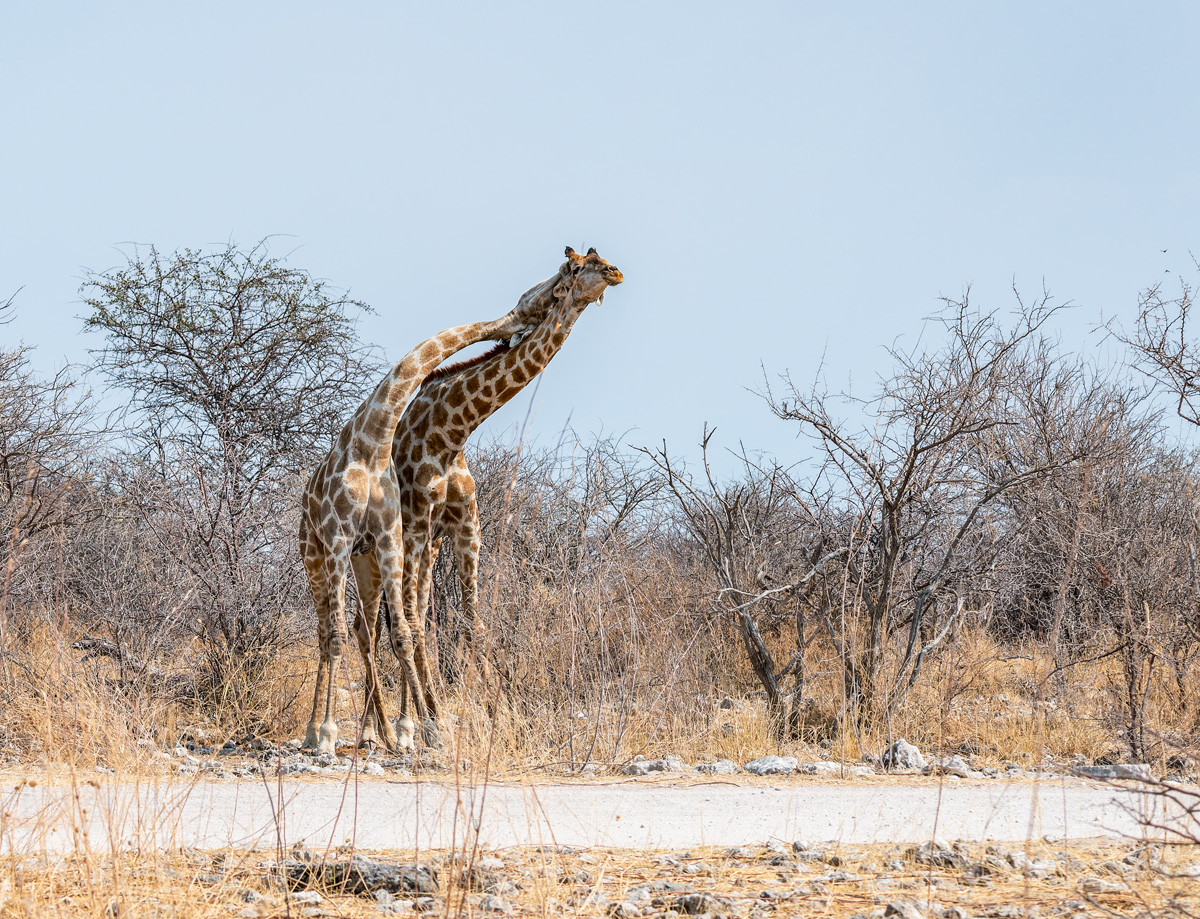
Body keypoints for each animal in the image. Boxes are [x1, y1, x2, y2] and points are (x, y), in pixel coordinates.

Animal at [353, 246, 623, 749]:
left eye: (598, 256)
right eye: (575, 268)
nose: (615, 272)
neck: (450, 431)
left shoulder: (464, 526)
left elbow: (470, 623)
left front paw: (494, 716)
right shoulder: (415, 524)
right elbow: (414, 624)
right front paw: (431, 723)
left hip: (413, 547)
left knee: (389, 622)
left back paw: (392, 725)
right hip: (377, 550)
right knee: (374, 627)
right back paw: (378, 730)